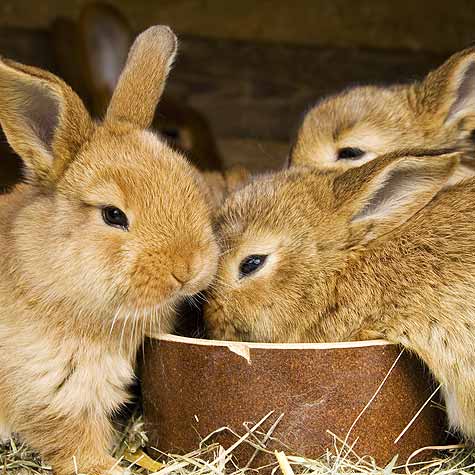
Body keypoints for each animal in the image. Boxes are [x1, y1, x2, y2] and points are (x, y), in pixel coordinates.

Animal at [0, 26, 219, 475]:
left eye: (187, 182)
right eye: (113, 215)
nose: (189, 267)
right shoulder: (54, 397)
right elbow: (75, 445)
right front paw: (109, 468)